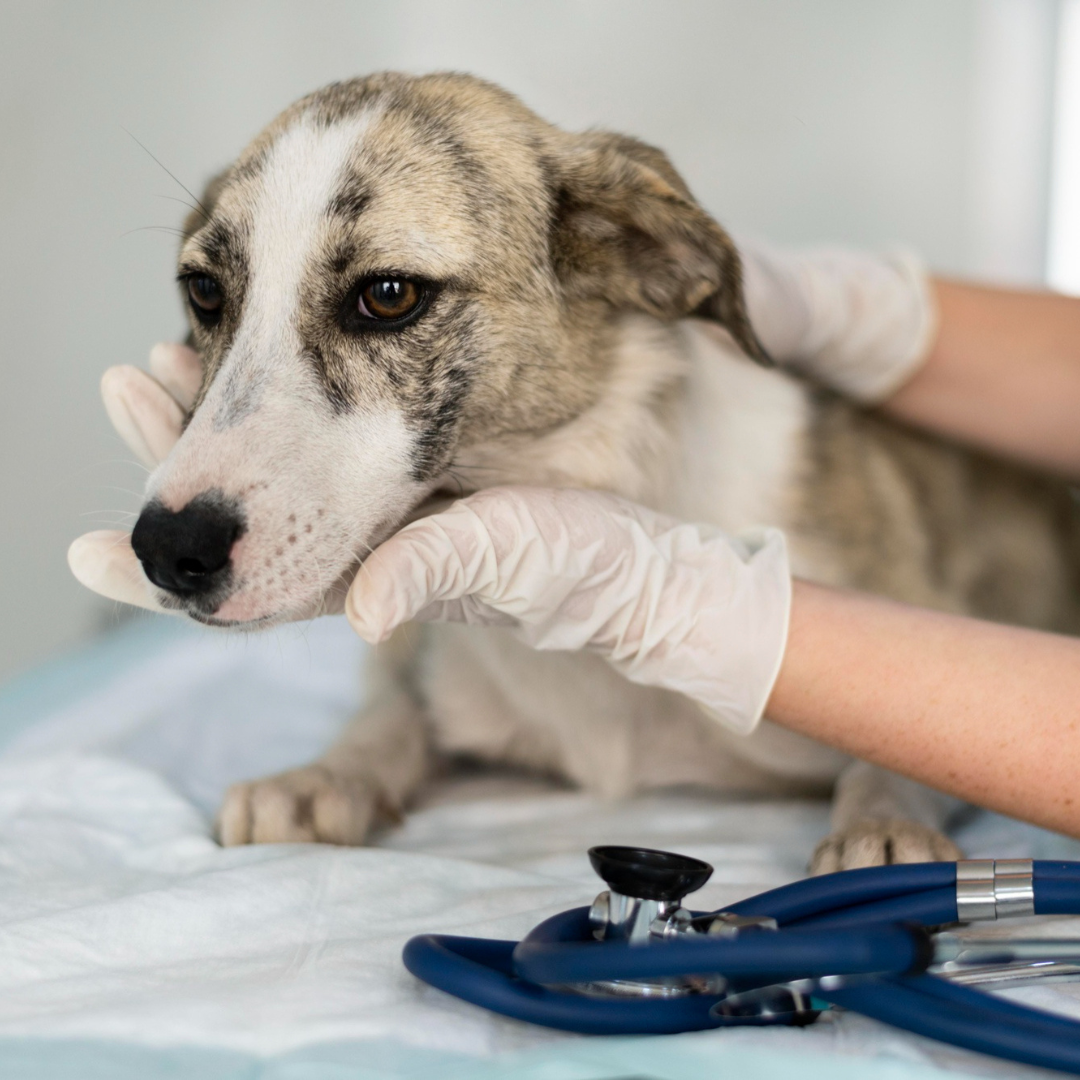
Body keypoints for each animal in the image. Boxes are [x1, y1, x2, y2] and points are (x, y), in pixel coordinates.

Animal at [130, 71, 1080, 872]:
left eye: (389, 295)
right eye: (204, 292)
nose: (167, 550)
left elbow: (910, 756)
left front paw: (882, 824)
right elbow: (391, 713)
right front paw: (325, 774)